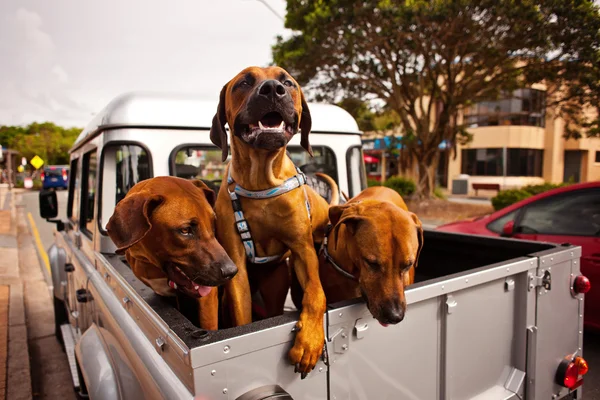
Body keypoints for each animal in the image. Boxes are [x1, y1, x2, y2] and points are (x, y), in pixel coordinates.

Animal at [211, 65, 332, 376]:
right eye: (243, 82)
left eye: (288, 82)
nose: (273, 90)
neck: (261, 181)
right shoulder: (236, 266)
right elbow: (242, 315)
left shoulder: (303, 252)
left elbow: (316, 295)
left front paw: (309, 342)